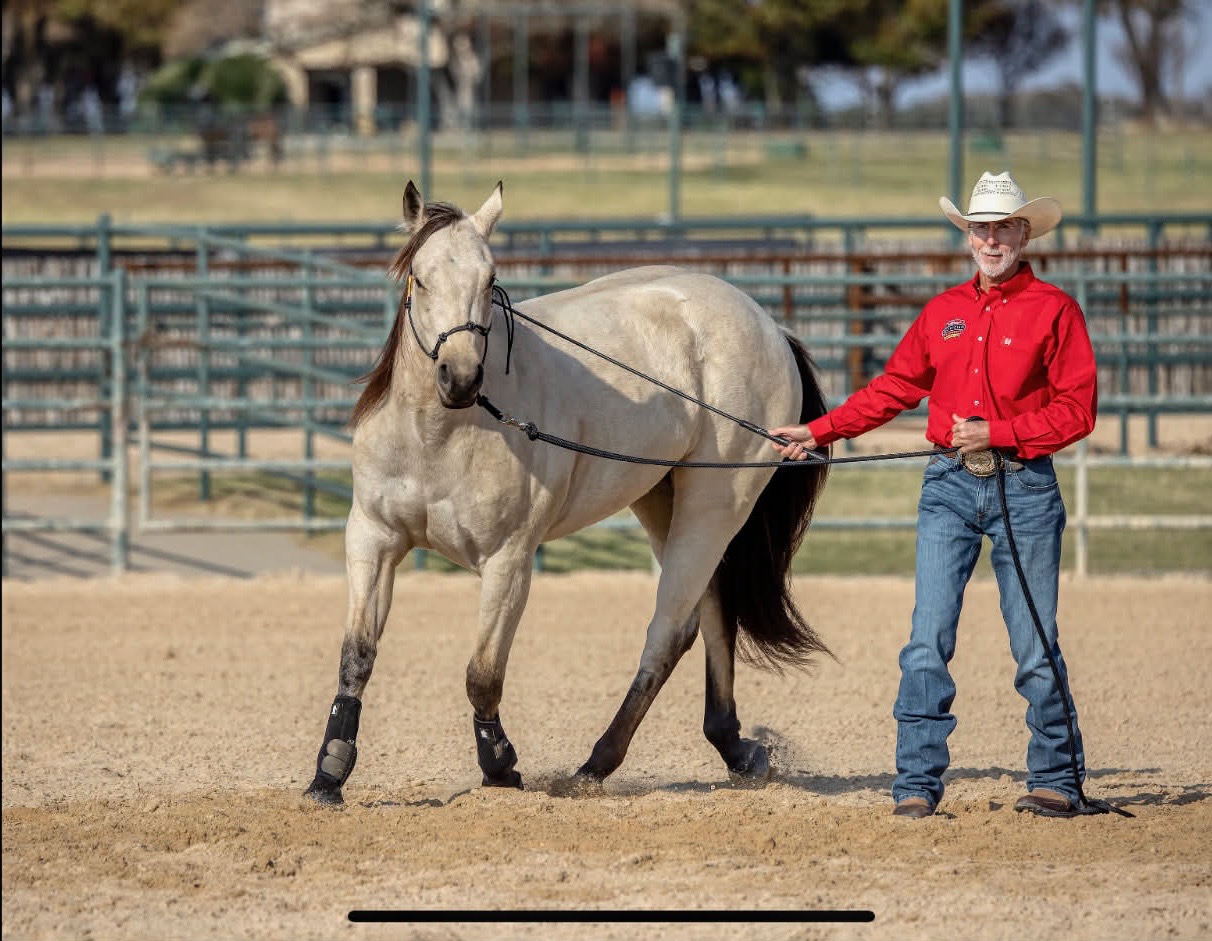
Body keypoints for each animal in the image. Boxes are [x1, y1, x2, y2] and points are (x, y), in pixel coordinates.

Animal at [304, 181, 832, 804]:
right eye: (420, 278)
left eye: (490, 279)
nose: (461, 378)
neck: (437, 436)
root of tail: (768, 326)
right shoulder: (373, 538)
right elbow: (356, 656)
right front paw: (328, 775)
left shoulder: (509, 560)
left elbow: (482, 673)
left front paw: (500, 768)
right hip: (663, 499)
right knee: (710, 613)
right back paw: (734, 749)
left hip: (715, 505)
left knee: (669, 630)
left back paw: (595, 767)